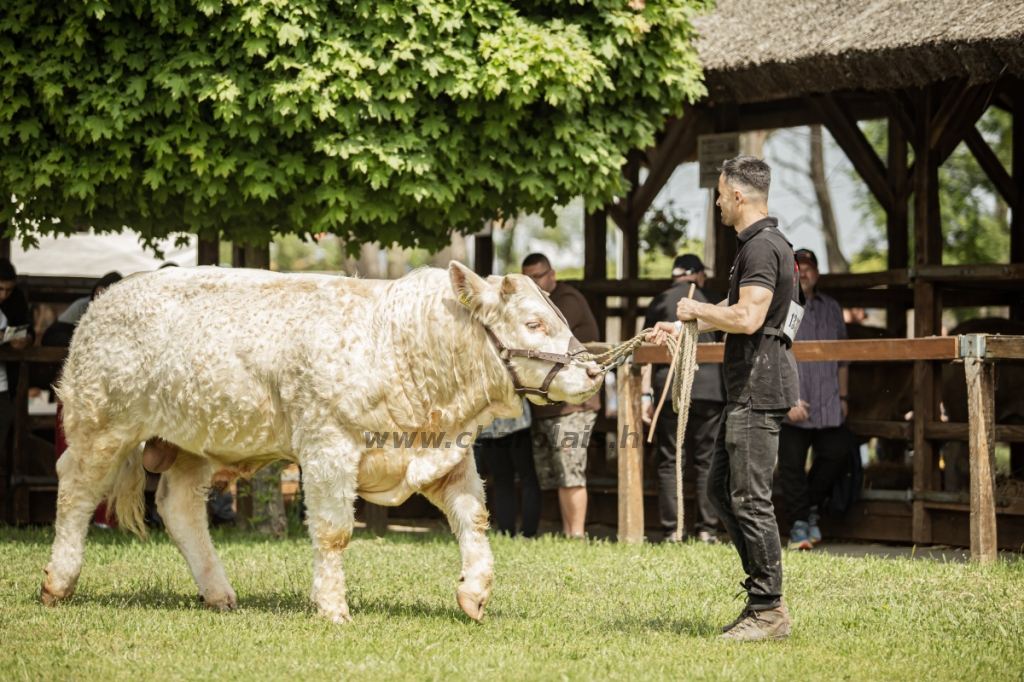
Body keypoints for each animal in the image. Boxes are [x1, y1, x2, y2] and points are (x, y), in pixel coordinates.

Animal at [41, 261, 598, 622]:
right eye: (532, 323)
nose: (594, 371)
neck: (400, 343)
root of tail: (108, 298)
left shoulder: (446, 455)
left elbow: (474, 518)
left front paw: (474, 591)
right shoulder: (328, 447)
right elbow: (333, 532)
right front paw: (332, 608)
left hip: (194, 442)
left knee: (179, 507)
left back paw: (218, 593)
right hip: (100, 424)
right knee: (75, 493)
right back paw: (58, 582)